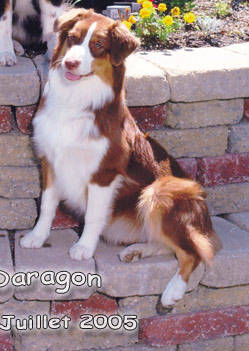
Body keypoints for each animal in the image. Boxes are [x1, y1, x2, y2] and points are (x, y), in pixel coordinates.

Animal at [19, 7, 222, 306]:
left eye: (97, 45)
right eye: (72, 38)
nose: (70, 63)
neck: (75, 100)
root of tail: (205, 218)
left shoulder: (104, 173)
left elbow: (93, 215)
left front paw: (83, 248)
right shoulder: (51, 161)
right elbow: (46, 206)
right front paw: (37, 236)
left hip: (160, 191)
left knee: (193, 253)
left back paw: (173, 291)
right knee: (167, 244)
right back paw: (136, 251)